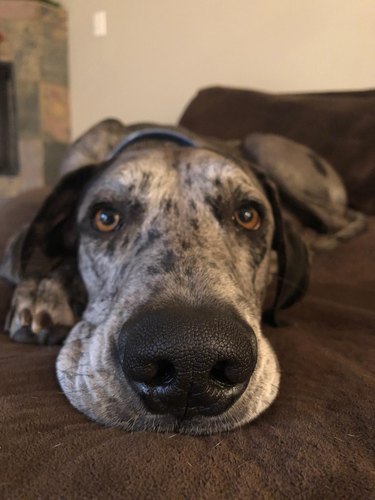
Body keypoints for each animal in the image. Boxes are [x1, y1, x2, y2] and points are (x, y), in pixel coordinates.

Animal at [0, 121, 366, 434]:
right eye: (105, 217)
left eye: (248, 215)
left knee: (347, 220)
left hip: (268, 150)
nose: (191, 361)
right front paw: (43, 293)